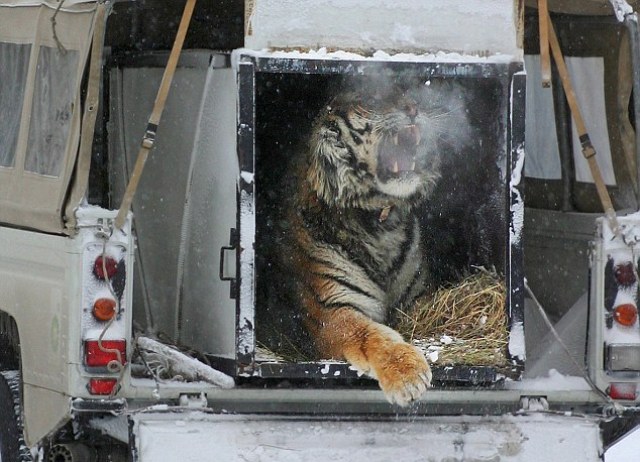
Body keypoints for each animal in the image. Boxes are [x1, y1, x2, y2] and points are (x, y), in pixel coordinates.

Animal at [284, 85, 440, 406]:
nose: (414, 108)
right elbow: (374, 335)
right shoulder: (333, 308)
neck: (381, 224)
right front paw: (408, 375)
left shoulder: (418, 294)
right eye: (373, 96)